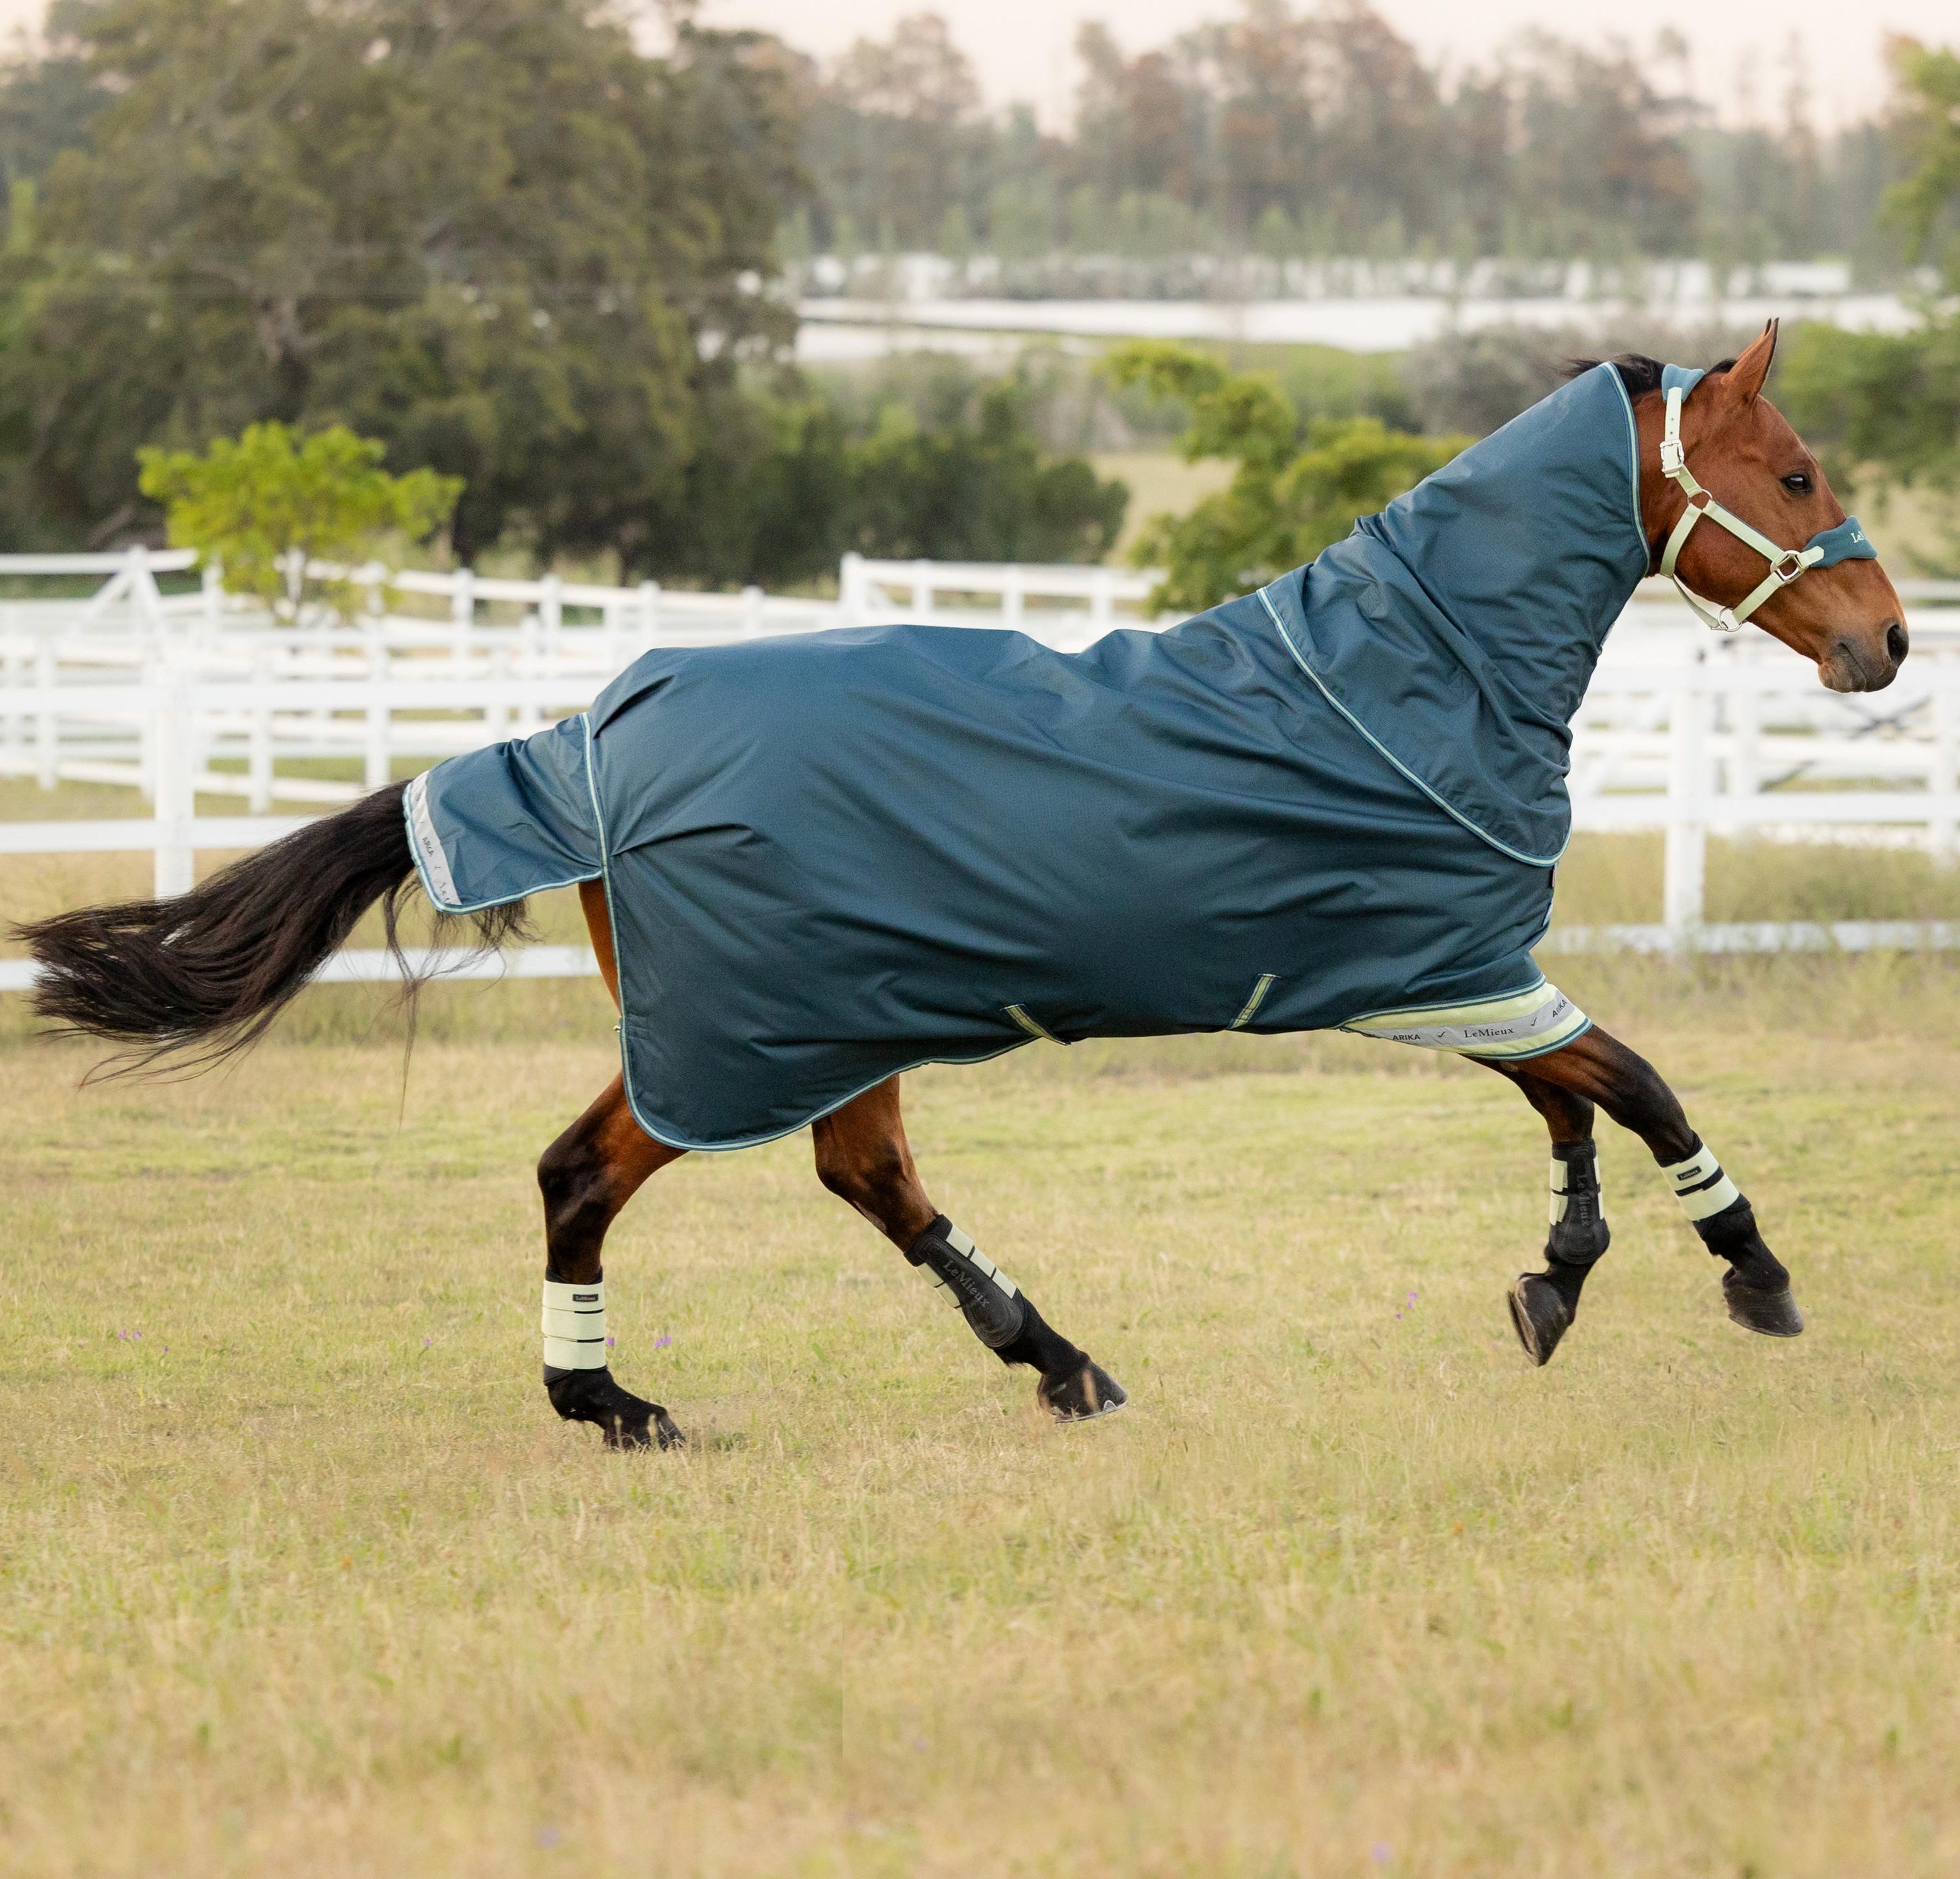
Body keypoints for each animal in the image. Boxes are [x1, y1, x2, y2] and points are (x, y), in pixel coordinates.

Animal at [20, 322, 1908, 1451]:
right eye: (1797, 471)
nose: (1888, 640)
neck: (1398, 670)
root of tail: (587, 733)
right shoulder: (1434, 968)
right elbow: (1638, 1086)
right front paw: (1751, 1272)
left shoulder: (1452, 973)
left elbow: (1575, 1109)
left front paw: (1557, 1279)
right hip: (749, 1034)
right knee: (600, 1172)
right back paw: (616, 1400)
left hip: (830, 1025)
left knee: (857, 1178)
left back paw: (1050, 1359)